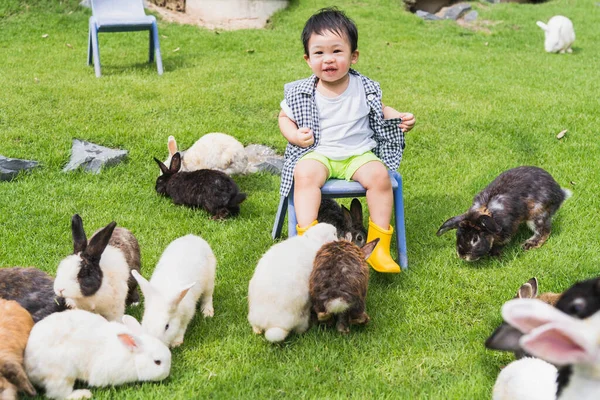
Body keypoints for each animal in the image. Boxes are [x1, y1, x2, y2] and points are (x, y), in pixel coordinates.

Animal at [22, 310, 170, 400]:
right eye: (157, 362)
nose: (168, 373)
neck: (133, 358)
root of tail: (29, 367)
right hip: (61, 374)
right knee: (59, 394)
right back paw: (83, 394)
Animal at [434, 165, 568, 260]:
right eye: (458, 234)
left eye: (475, 239)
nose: (462, 255)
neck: (489, 212)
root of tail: (559, 192)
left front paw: (495, 254)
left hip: (537, 215)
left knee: (544, 231)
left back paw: (528, 245)